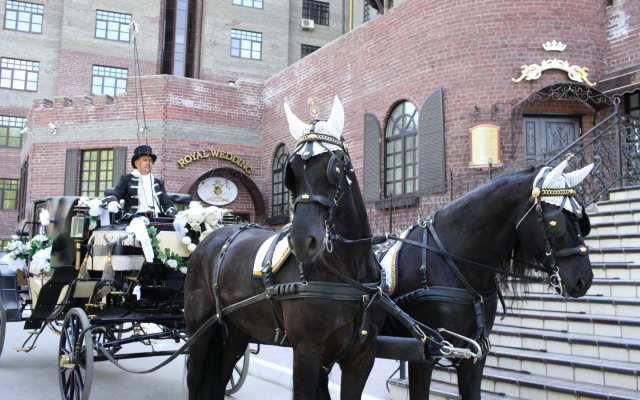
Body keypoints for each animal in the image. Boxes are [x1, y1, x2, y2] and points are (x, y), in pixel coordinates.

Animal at [184, 97, 384, 400]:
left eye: (337, 166)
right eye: (291, 171)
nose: (303, 240)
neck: (351, 275)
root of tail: (212, 237)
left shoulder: (362, 357)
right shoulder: (306, 352)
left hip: (237, 329)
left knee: (220, 375)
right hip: (199, 325)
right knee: (195, 376)